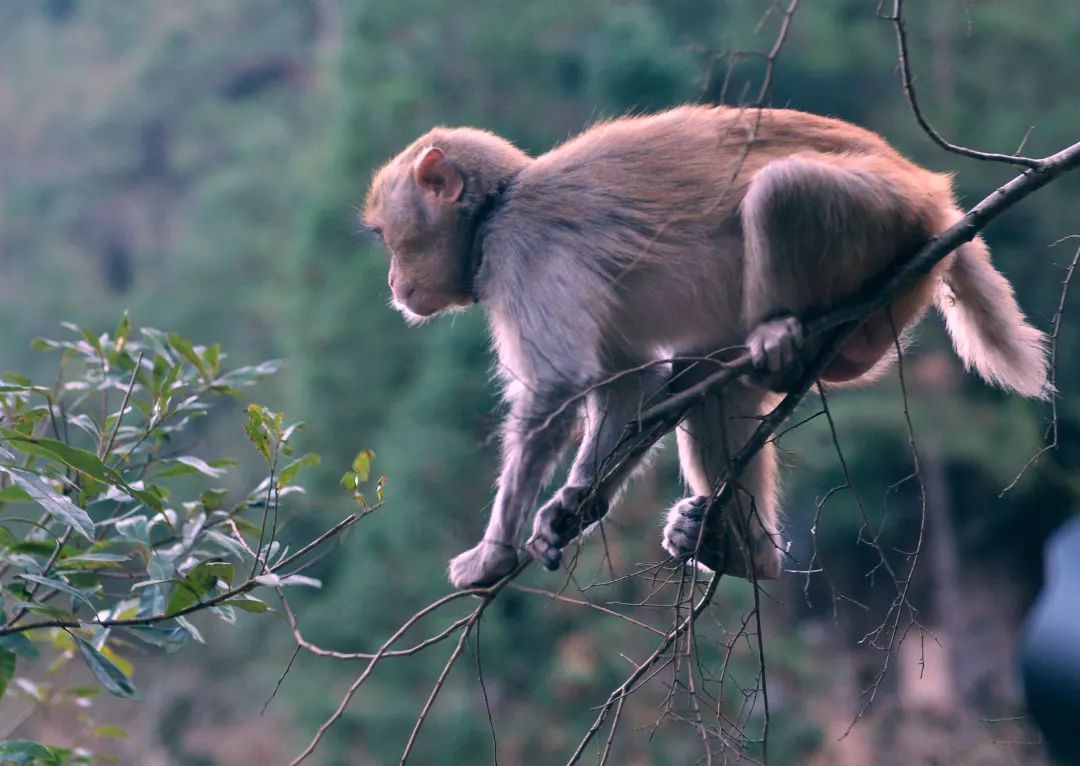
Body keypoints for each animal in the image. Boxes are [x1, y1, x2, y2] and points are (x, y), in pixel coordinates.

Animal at [360, 104, 1045, 587]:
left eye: (389, 238)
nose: (391, 283)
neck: (495, 209)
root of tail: (935, 194)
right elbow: (628, 384)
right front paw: (573, 507)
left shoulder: (521, 249)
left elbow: (557, 384)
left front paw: (492, 554)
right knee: (707, 381)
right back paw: (747, 554)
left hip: (881, 211)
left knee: (780, 189)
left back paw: (779, 338)